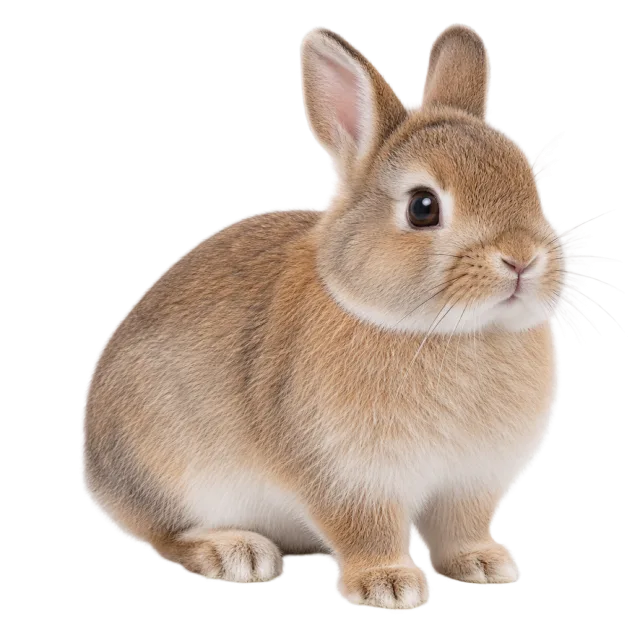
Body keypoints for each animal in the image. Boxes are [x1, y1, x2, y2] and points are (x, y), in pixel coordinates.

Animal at [81, 24, 565, 611]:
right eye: (423, 207)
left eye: (529, 183)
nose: (522, 258)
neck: (450, 330)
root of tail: (95, 464)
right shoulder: (348, 477)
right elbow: (367, 530)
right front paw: (389, 585)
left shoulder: (470, 482)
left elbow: (460, 529)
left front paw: (484, 565)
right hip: (168, 468)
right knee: (164, 532)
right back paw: (234, 553)